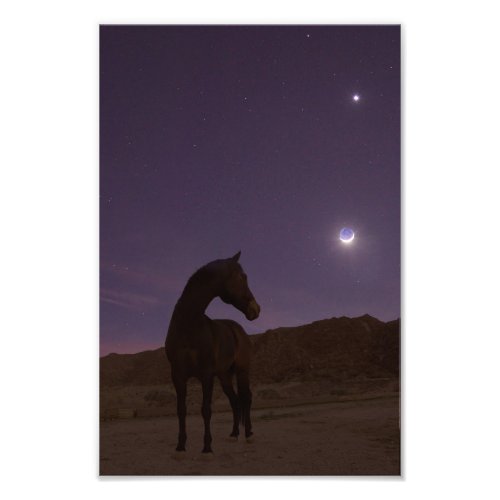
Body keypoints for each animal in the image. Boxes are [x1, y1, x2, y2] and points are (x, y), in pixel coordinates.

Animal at [166, 252, 262, 452]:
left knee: (246, 398)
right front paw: (181, 447)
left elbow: (206, 410)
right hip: (224, 375)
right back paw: (234, 434)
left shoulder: (206, 374)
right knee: (235, 400)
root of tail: (239, 330)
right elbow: (181, 410)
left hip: (242, 370)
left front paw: (207, 448)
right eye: (242, 277)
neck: (188, 326)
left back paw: (248, 434)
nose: (256, 309)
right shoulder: (177, 375)